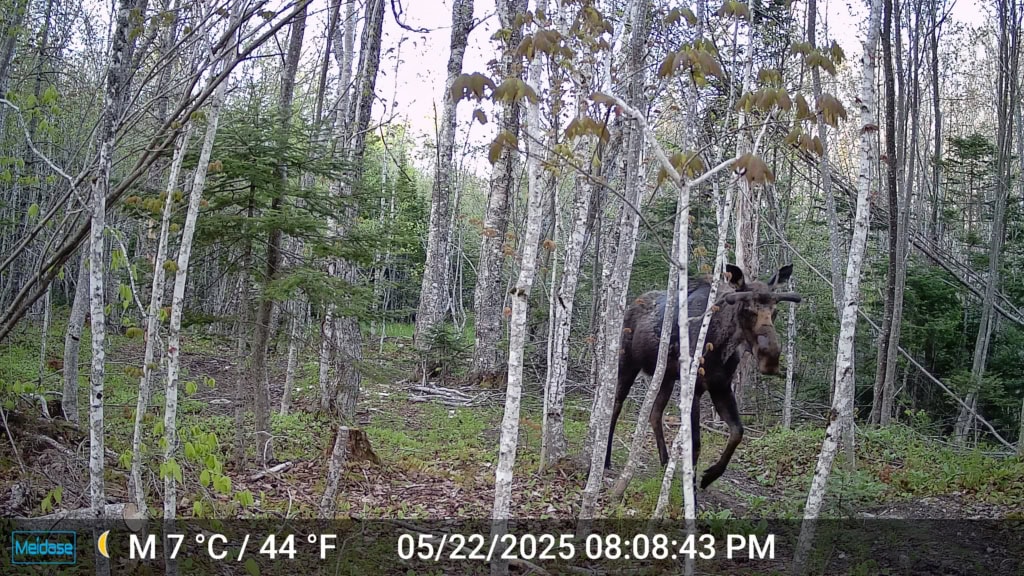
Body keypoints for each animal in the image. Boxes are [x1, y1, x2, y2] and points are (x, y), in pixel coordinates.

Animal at [604, 264, 801, 489]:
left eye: (775, 310)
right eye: (747, 309)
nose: (771, 360)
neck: (721, 345)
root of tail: (632, 303)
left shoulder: (720, 386)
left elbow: (737, 432)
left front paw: (709, 476)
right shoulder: (696, 389)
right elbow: (696, 445)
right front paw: (691, 489)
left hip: (666, 377)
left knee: (654, 414)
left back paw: (664, 461)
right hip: (627, 363)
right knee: (615, 406)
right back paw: (605, 458)